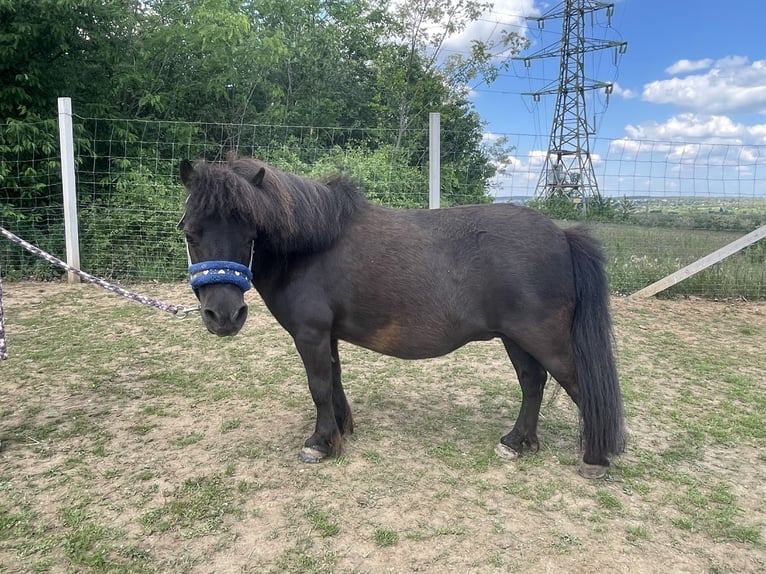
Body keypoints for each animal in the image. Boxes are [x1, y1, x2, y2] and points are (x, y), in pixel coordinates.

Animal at [178, 155, 626, 478]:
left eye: (251, 232)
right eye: (189, 232)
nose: (223, 315)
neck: (312, 244)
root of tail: (561, 235)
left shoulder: (310, 334)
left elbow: (318, 385)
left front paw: (320, 443)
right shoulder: (328, 335)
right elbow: (335, 379)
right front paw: (342, 429)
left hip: (543, 338)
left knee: (579, 387)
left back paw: (594, 459)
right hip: (516, 338)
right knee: (533, 384)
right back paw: (517, 442)